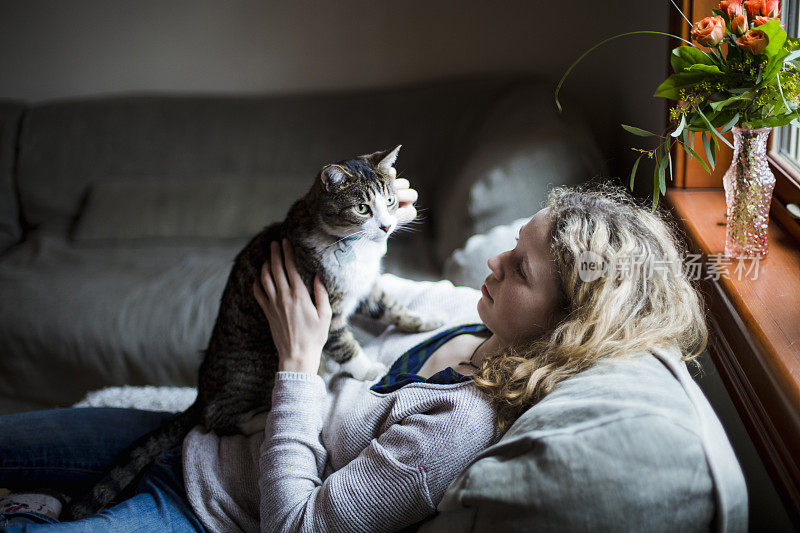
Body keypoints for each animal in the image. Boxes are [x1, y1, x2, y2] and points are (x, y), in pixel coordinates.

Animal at [65, 145, 440, 520]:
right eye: (362, 208)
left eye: (390, 200)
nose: (387, 225)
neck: (353, 249)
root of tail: (201, 395)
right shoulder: (325, 309)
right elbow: (345, 344)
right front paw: (368, 370)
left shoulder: (364, 290)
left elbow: (389, 306)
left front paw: (427, 322)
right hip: (255, 371)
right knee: (218, 419)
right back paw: (266, 417)